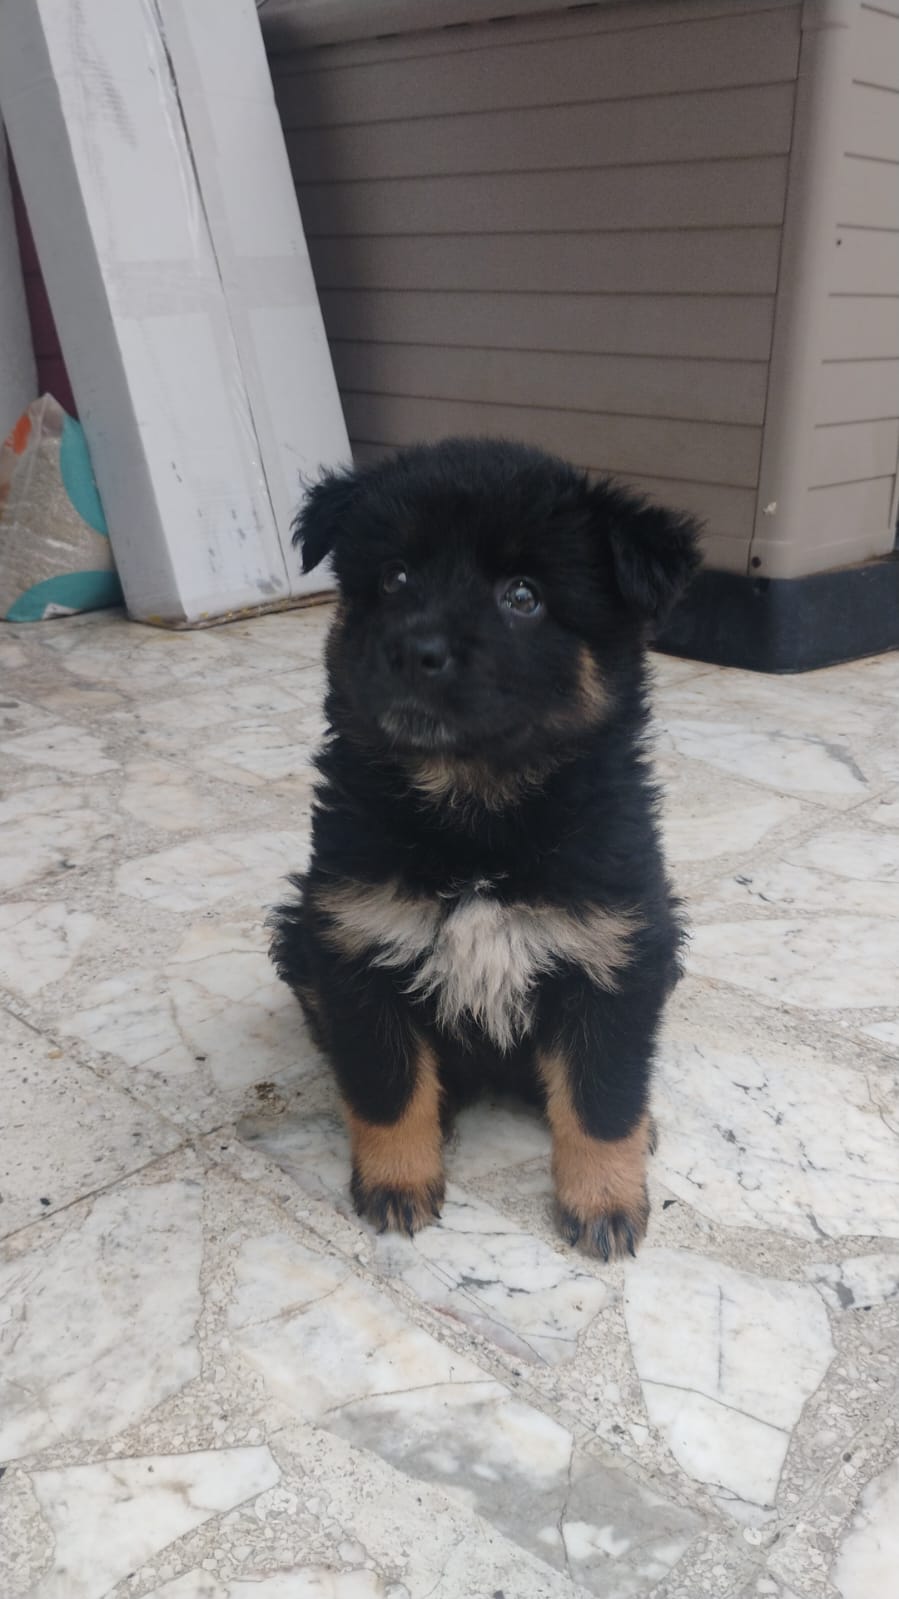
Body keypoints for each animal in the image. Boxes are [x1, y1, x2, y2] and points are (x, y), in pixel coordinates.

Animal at [270, 438, 700, 1260]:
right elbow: (387, 1085)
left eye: (523, 596)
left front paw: (605, 1201)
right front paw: (397, 1182)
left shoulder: (615, 957)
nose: (414, 650)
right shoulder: (356, 945)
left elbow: (601, 1097)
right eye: (395, 576)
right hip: (297, 934)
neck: (475, 816)